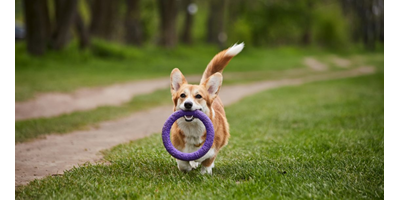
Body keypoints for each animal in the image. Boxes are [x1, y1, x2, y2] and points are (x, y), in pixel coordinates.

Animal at [169, 42, 244, 175]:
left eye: (199, 96)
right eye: (182, 95)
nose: (188, 104)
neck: (193, 129)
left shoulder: (213, 151)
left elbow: (207, 162)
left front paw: (205, 174)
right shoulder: (178, 149)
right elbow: (182, 162)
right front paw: (188, 168)